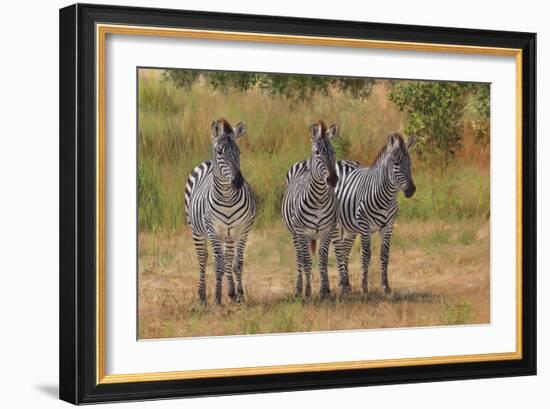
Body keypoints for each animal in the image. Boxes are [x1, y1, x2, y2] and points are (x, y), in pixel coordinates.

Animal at [183, 118, 256, 302]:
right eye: (220, 152)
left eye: (239, 152)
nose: (238, 182)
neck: (227, 199)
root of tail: (207, 163)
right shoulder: (213, 231)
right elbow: (218, 265)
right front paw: (217, 297)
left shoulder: (242, 231)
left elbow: (236, 263)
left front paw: (238, 294)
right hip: (197, 231)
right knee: (203, 259)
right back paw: (202, 296)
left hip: (228, 235)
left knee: (228, 259)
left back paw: (230, 292)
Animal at [284, 119, 340, 298]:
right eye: (317, 152)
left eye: (333, 151)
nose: (333, 179)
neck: (319, 200)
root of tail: (304, 162)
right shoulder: (302, 232)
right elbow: (307, 261)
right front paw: (308, 291)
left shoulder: (327, 232)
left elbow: (323, 261)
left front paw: (324, 291)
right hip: (296, 234)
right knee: (300, 258)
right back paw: (298, 290)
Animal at [332, 132, 418, 294]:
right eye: (396, 164)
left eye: (410, 164)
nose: (411, 190)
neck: (387, 198)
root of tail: (341, 161)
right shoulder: (364, 225)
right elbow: (366, 255)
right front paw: (364, 287)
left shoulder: (388, 227)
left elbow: (384, 255)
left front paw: (386, 286)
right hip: (336, 224)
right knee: (338, 250)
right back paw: (343, 285)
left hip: (350, 227)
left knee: (345, 250)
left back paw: (345, 283)